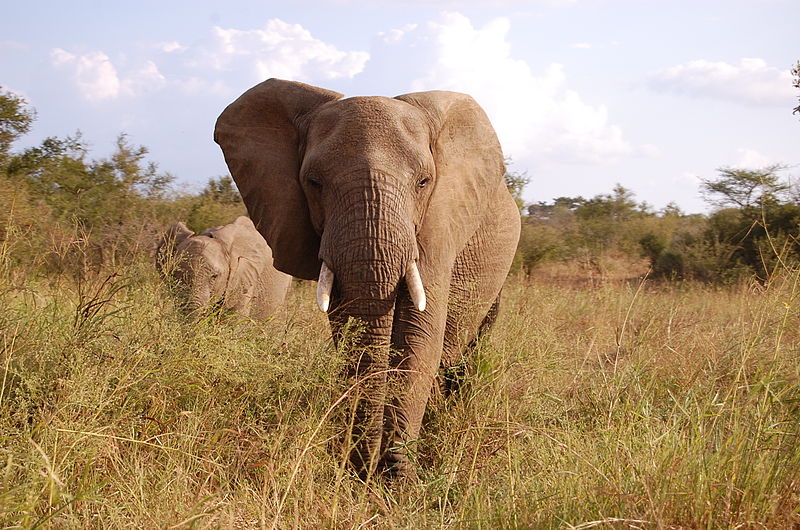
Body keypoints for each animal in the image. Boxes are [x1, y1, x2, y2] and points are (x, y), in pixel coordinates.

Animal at [216, 78, 520, 478]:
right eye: (313, 182)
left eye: (424, 182)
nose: (368, 466)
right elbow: (350, 330)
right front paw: (360, 468)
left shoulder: (440, 223)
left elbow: (420, 336)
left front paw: (397, 477)